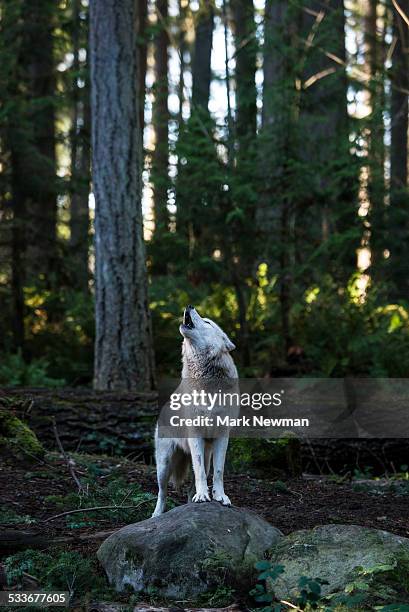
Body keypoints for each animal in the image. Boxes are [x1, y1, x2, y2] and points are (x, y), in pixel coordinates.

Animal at [151, 306, 237, 516]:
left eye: (207, 322)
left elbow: (218, 471)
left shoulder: (222, 435)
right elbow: (199, 473)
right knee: (162, 492)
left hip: (206, 454)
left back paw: (195, 500)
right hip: (164, 464)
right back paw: (156, 515)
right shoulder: (195, 434)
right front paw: (204, 496)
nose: (189, 306)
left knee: (192, 486)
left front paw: (220, 497)